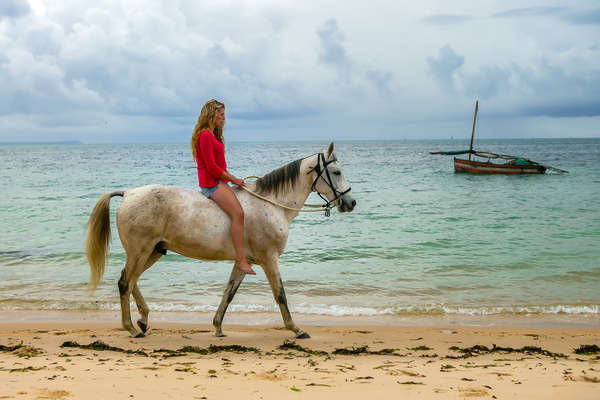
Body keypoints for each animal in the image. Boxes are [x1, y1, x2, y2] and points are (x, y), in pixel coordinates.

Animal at [85, 142, 356, 340]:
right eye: (336, 172)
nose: (351, 202)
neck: (271, 204)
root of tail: (128, 193)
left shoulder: (244, 263)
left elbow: (229, 293)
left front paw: (217, 327)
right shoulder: (269, 259)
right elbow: (280, 294)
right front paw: (296, 329)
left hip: (153, 251)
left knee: (132, 281)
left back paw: (142, 319)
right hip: (140, 251)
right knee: (125, 282)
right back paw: (131, 327)